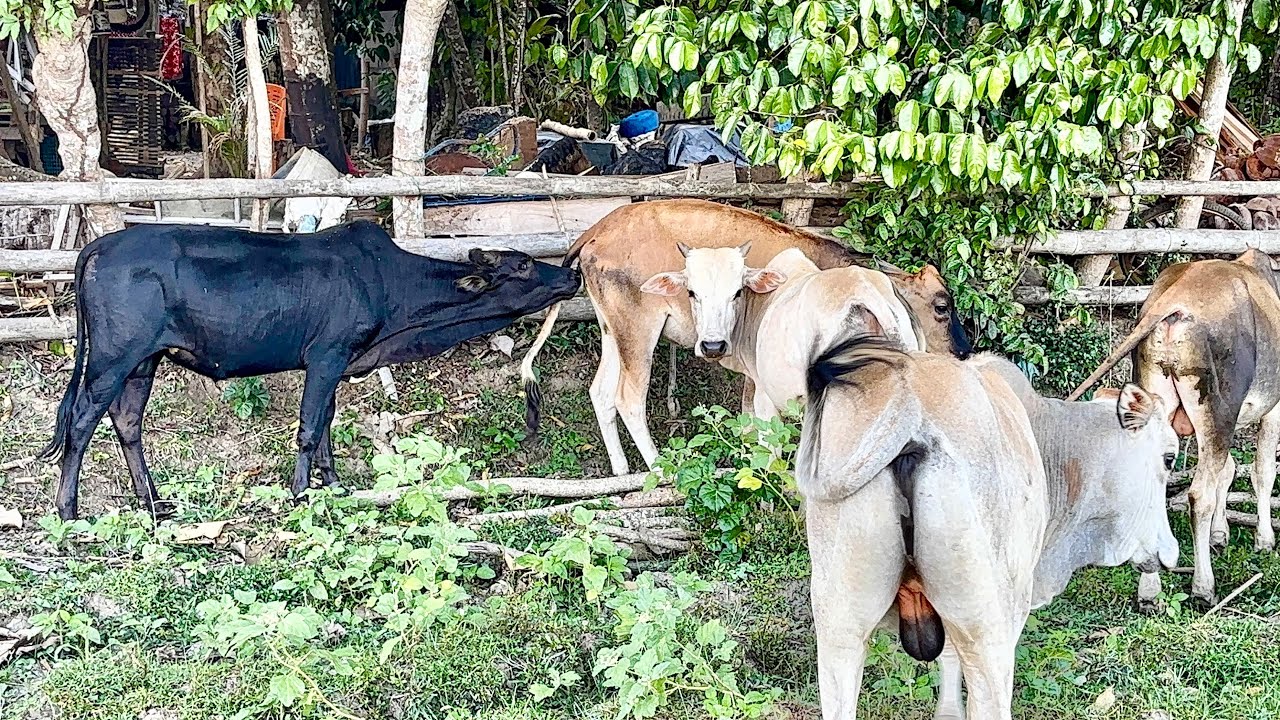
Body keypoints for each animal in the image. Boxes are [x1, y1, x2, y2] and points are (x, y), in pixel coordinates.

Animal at [39, 220, 581, 521]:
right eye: (525, 265)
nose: (571, 273)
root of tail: (97, 247)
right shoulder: (326, 355)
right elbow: (307, 427)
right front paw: (301, 492)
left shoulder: (339, 362)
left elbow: (326, 425)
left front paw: (334, 485)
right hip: (113, 355)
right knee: (83, 421)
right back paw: (68, 511)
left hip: (143, 360)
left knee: (127, 421)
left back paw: (152, 504)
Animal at [518, 198, 972, 476]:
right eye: (942, 305)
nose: (963, 352)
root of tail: (597, 228)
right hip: (639, 331)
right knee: (628, 398)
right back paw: (660, 468)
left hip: (613, 330)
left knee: (600, 392)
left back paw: (621, 470)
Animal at [1068, 249, 1280, 605]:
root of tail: (1173, 299)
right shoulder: (1269, 408)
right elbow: (1261, 470)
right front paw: (1264, 540)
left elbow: (1228, 471)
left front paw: (1220, 535)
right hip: (1216, 407)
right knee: (1199, 494)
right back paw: (1203, 587)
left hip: (1157, 394)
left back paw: (1149, 591)